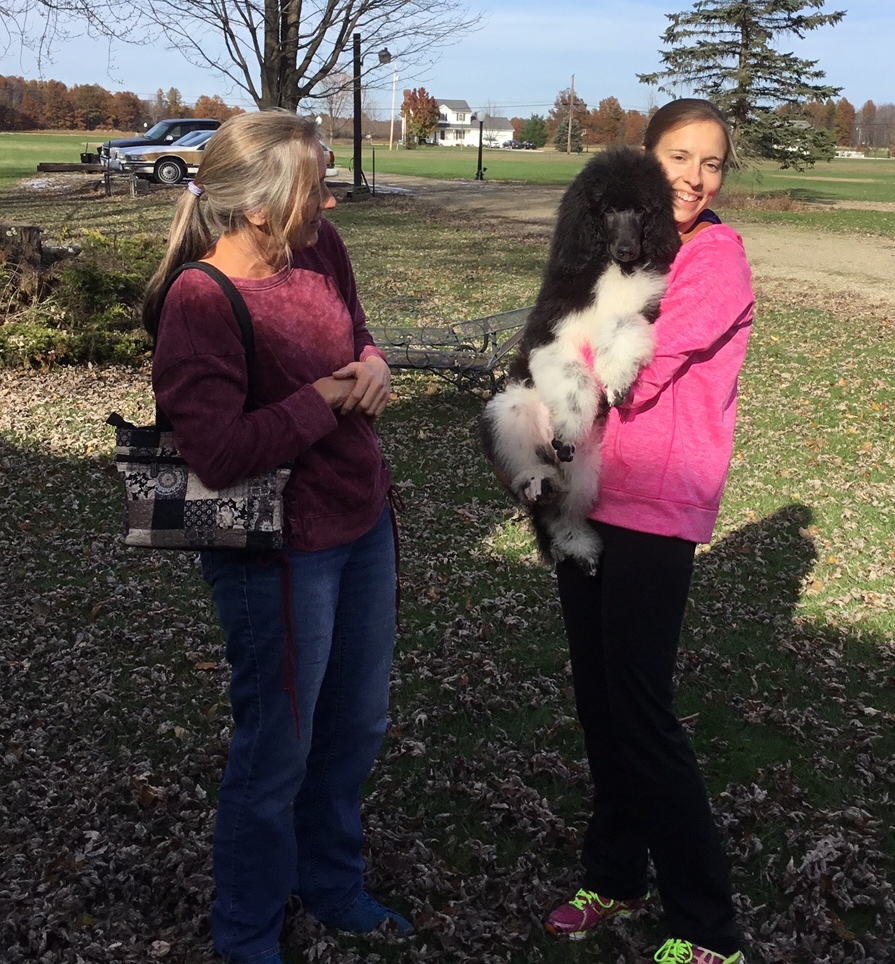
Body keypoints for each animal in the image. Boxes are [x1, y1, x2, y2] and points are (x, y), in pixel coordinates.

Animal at [480, 147, 680, 574]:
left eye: (642, 210)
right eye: (606, 210)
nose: (627, 250)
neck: (614, 270)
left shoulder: (645, 308)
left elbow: (622, 326)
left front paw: (618, 377)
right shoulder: (552, 333)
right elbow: (574, 377)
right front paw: (571, 425)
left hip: (588, 466)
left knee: (564, 509)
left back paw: (577, 543)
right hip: (508, 413)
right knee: (528, 472)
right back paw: (537, 481)